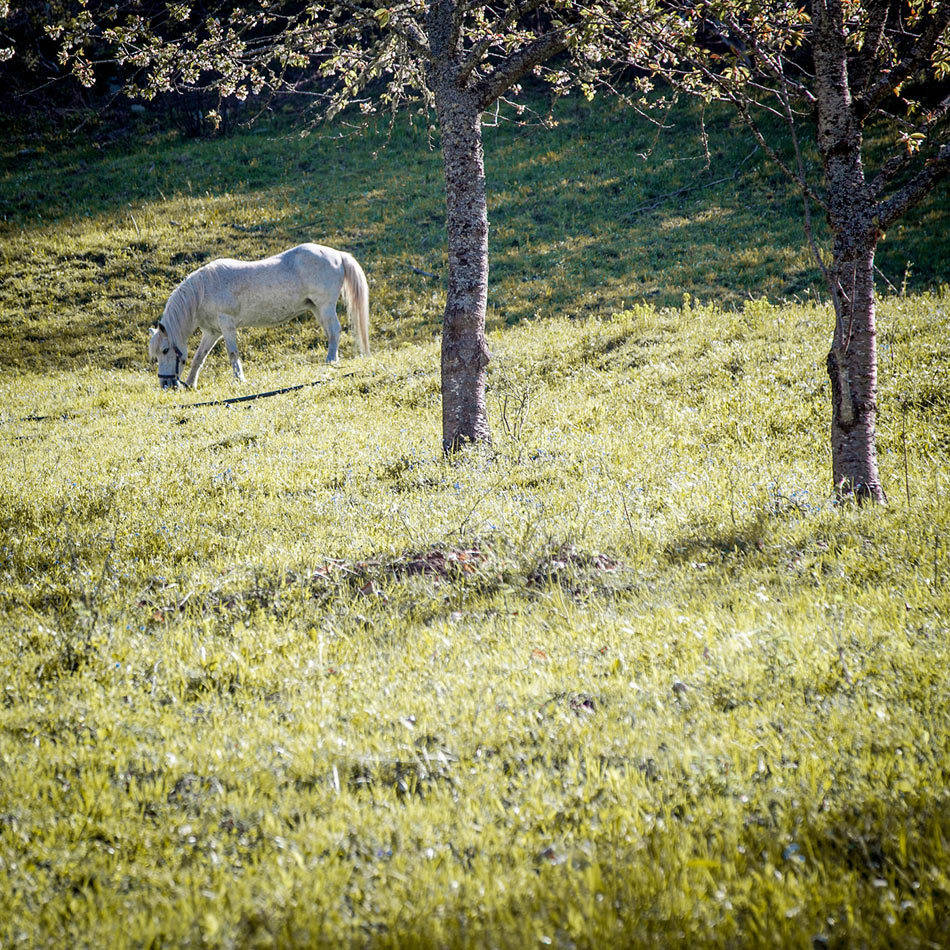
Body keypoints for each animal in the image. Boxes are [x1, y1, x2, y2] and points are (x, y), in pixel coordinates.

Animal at [147, 244, 370, 388]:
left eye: (165, 350)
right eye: (156, 354)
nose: (165, 384)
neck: (202, 291)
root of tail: (337, 255)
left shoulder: (227, 325)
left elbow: (232, 353)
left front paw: (239, 380)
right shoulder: (212, 332)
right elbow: (199, 357)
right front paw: (191, 383)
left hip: (325, 306)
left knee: (334, 331)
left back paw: (330, 361)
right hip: (317, 308)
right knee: (331, 332)